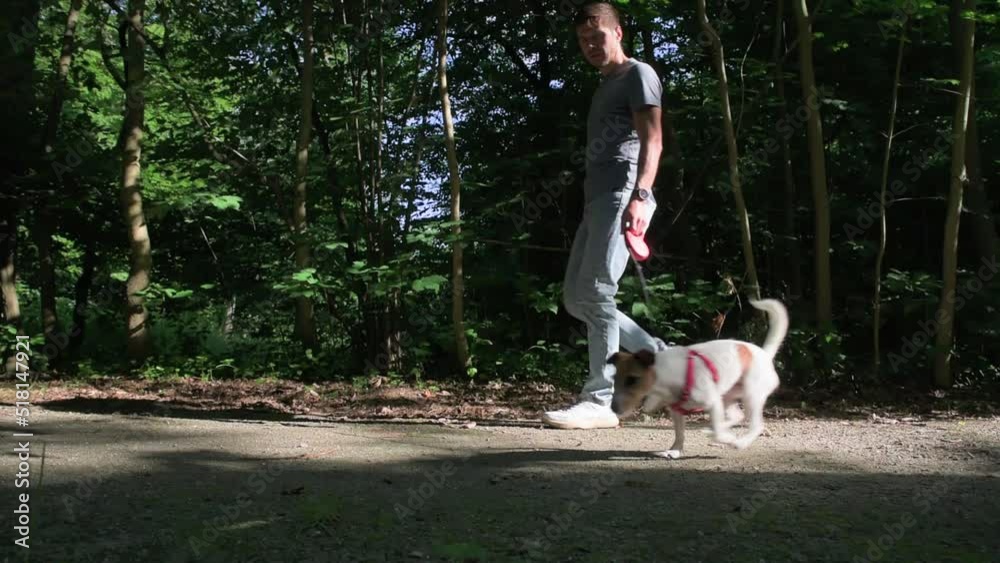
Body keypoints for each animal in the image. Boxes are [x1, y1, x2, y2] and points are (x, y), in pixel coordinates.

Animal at [607, 298, 788, 459]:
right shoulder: (677, 411)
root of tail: (765, 354)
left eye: (632, 380)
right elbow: (680, 434)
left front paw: (728, 439)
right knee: (737, 416)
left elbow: (719, 433)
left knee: (755, 425)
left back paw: (740, 441)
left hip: (751, 396)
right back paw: (713, 429)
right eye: (615, 379)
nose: (613, 408)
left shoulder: (712, 402)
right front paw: (675, 451)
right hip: (727, 396)